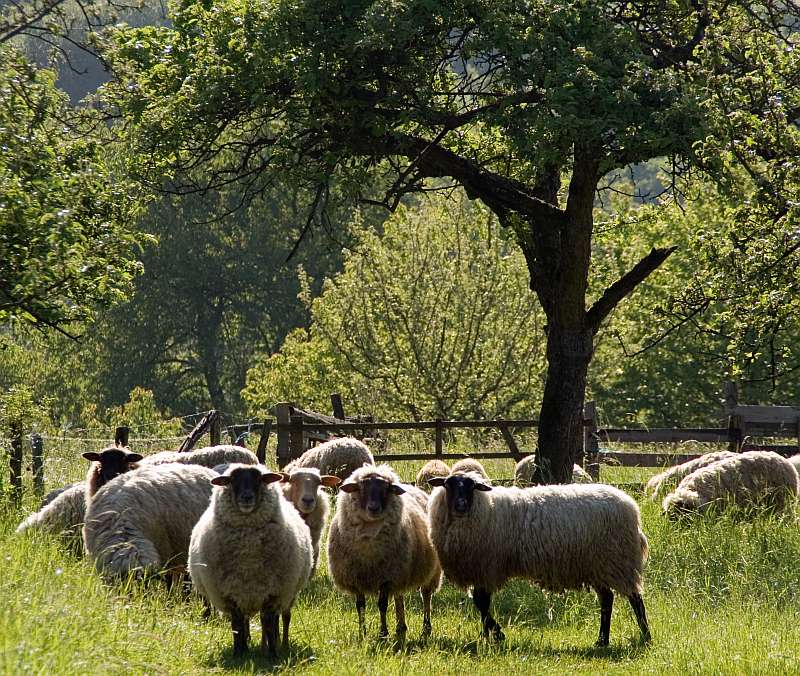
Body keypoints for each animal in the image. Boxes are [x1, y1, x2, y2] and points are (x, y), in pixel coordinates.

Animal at [188, 464, 312, 656]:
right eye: (232, 480)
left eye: (259, 479)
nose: (246, 497)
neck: (248, 555)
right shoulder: (230, 592)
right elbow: (237, 625)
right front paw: (239, 653)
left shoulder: (273, 591)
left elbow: (268, 624)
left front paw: (272, 655)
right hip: (246, 593)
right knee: (246, 621)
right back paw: (248, 643)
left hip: (288, 592)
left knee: (282, 618)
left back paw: (278, 644)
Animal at [326, 464, 444, 640]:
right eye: (361, 487)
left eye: (386, 488)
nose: (373, 508)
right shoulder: (355, 577)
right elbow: (360, 605)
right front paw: (362, 633)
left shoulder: (387, 577)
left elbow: (382, 605)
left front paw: (383, 633)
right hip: (401, 572)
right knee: (399, 596)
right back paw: (401, 627)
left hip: (429, 571)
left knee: (426, 596)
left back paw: (426, 629)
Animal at [432, 472, 648, 648]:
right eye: (448, 485)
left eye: (472, 486)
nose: (460, 505)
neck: (485, 508)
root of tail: (632, 507)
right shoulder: (481, 570)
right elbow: (482, 604)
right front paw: (487, 635)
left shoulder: (487, 567)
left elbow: (481, 602)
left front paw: (497, 634)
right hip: (598, 566)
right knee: (607, 600)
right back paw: (602, 641)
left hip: (619, 560)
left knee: (635, 598)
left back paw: (646, 636)